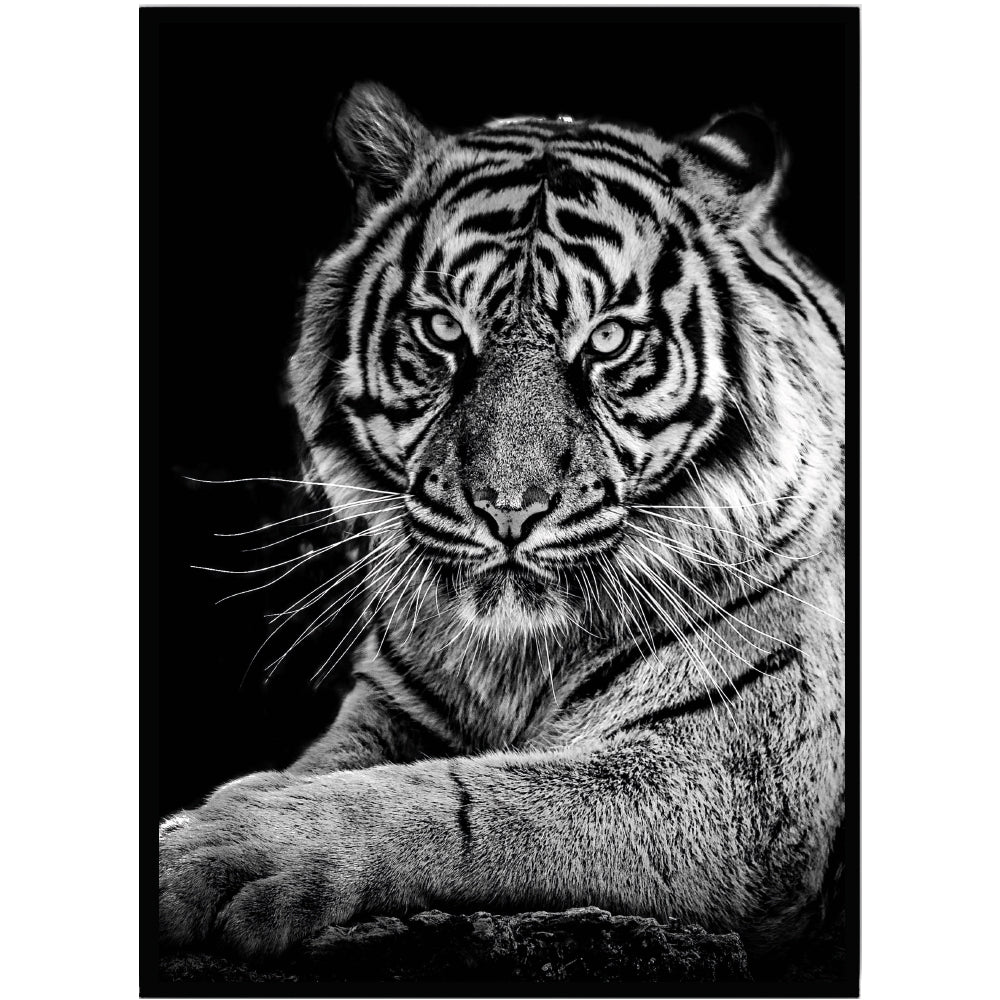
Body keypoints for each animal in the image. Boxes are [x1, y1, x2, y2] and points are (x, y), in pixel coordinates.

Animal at [159, 81, 846, 964]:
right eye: (444, 330)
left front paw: (224, 845)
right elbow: (340, 765)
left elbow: (473, 801)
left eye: (609, 338)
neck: (513, 658)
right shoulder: (391, 707)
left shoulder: (737, 788)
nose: (507, 508)